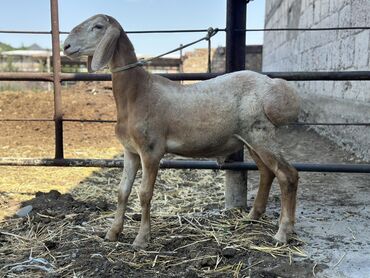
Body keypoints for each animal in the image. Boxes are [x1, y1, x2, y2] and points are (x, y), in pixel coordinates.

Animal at [63, 14, 300, 249]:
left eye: (98, 26)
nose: (66, 46)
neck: (137, 93)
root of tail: (274, 86)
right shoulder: (130, 151)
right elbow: (122, 192)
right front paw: (112, 233)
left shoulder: (151, 150)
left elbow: (144, 194)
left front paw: (141, 239)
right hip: (251, 139)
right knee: (267, 172)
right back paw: (252, 216)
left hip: (260, 134)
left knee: (288, 175)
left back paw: (283, 233)